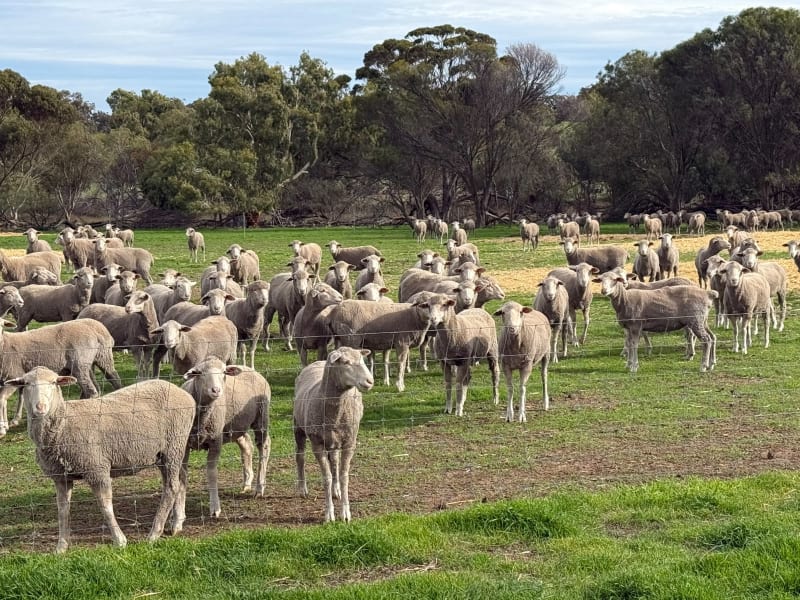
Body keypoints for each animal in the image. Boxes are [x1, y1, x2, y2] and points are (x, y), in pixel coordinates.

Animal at [7, 366, 194, 552]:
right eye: (26, 384)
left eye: (54, 383)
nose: (40, 407)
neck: (63, 424)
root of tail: (183, 392)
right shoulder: (61, 477)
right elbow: (62, 510)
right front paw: (61, 547)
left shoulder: (97, 468)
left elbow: (105, 506)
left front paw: (120, 540)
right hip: (165, 453)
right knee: (181, 480)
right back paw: (176, 524)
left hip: (173, 446)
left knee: (171, 487)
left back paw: (154, 533)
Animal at [182, 357, 271, 518]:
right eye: (200, 372)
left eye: (224, 372)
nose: (216, 390)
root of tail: (250, 368)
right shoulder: (183, 444)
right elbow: (182, 476)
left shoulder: (215, 442)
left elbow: (212, 474)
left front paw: (215, 508)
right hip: (236, 424)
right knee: (247, 445)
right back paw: (247, 483)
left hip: (261, 416)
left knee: (264, 446)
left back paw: (259, 488)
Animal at [293, 346, 373, 522]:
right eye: (346, 362)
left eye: (362, 360)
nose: (370, 381)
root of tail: (318, 361)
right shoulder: (317, 444)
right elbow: (326, 477)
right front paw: (329, 514)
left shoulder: (350, 442)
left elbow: (343, 476)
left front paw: (345, 512)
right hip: (298, 427)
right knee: (300, 456)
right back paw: (302, 488)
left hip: (335, 439)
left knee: (334, 461)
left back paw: (336, 491)